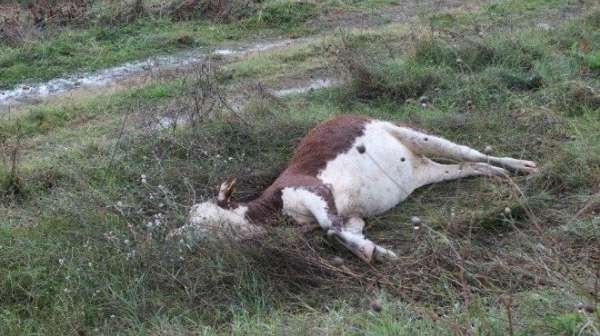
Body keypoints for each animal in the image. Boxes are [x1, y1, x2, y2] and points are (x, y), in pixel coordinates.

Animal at [170, 115, 540, 262]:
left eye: (199, 219)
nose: (175, 236)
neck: (274, 212)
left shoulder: (310, 189)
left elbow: (330, 229)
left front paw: (377, 253)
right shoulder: (352, 217)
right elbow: (341, 232)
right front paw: (371, 250)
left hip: (412, 133)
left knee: (470, 152)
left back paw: (522, 166)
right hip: (430, 170)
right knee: (468, 166)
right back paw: (498, 175)